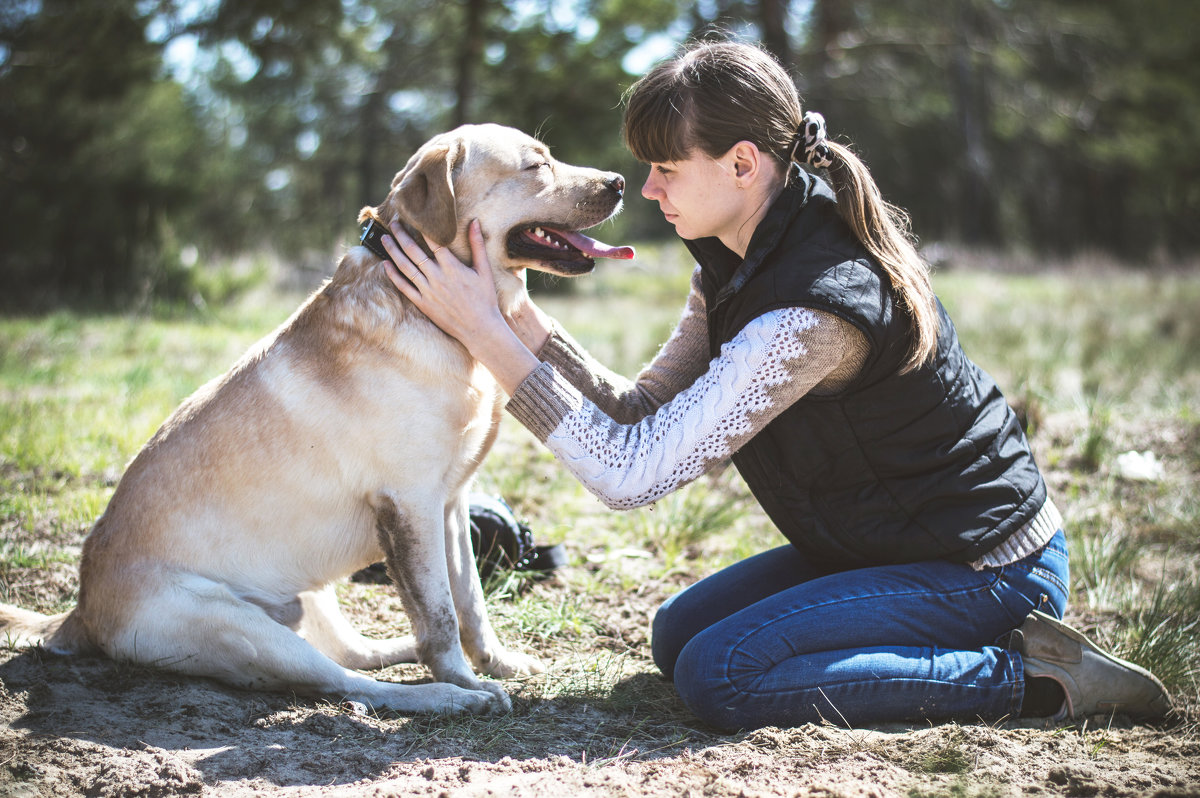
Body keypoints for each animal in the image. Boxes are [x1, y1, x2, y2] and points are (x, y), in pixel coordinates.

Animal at [0, 126, 633, 715]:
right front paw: (469, 683)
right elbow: (441, 615)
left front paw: (498, 664)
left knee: (361, 653)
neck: (424, 310)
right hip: (247, 633)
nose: (620, 182)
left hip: (313, 596)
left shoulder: (452, 505)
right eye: (535, 165)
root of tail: (81, 610)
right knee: (349, 683)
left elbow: (469, 606)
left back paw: (411, 655)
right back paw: (446, 698)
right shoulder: (412, 504)